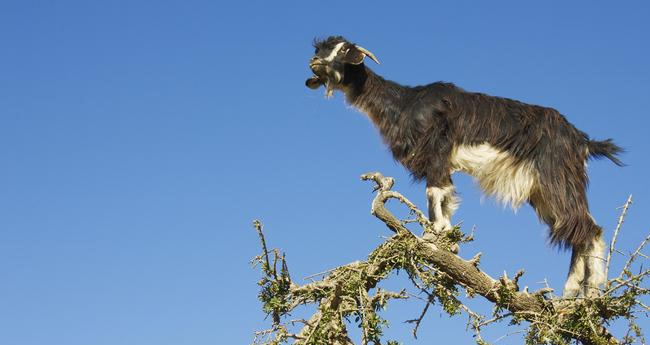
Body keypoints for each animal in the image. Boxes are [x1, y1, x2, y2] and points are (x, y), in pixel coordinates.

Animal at [306, 36, 620, 296]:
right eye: (320, 48)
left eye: (344, 50)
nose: (314, 62)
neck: (405, 104)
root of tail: (582, 141)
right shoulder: (442, 164)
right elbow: (446, 199)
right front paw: (448, 240)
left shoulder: (436, 153)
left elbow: (435, 195)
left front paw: (434, 236)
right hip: (542, 191)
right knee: (577, 231)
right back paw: (570, 295)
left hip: (556, 177)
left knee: (589, 230)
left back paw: (590, 295)